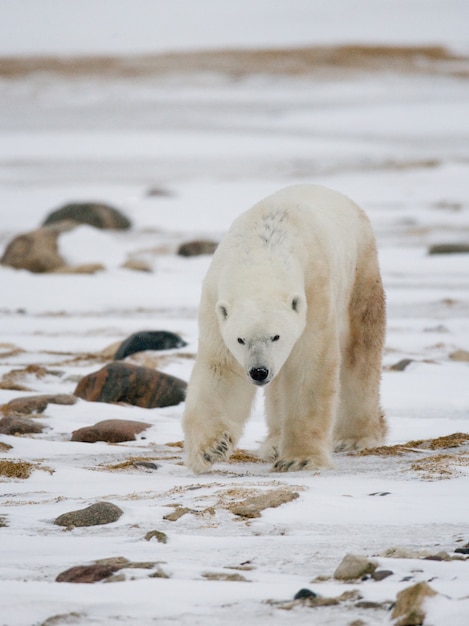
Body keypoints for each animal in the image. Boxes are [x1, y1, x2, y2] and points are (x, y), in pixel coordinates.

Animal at [182, 183, 384, 470]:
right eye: (240, 340)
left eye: (276, 336)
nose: (258, 371)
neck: (262, 253)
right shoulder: (215, 302)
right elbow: (221, 369)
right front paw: (210, 448)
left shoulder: (315, 291)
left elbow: (309, 367)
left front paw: (300, 459)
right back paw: (274, 443)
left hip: (359, 272)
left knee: (360, 352)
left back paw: (355, 438)